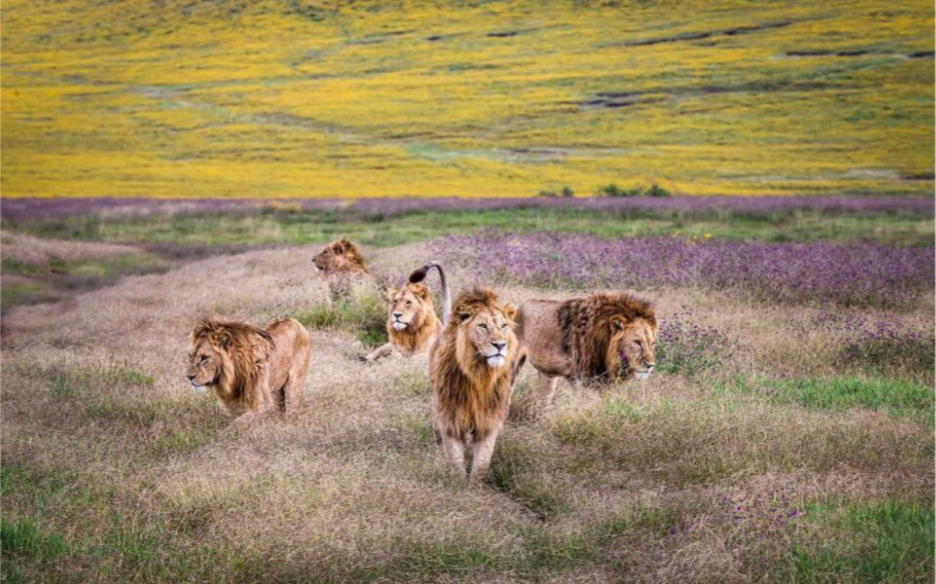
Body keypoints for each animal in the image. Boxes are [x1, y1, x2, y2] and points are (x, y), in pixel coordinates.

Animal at [430, 284, 520, 484]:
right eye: (483, 326)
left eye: (503, 326)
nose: (500, 345)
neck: (480, 375)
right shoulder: (451, 416)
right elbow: (455, 458)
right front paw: (458, 484)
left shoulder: (489, 418)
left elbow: (482, 463)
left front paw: (474, 486)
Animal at [512, 290, 660, 402]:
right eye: (637, 342)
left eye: (652, 343)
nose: (650, 365)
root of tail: (519, 305)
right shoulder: (582, 379)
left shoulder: (602, 381)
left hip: (547, 374)